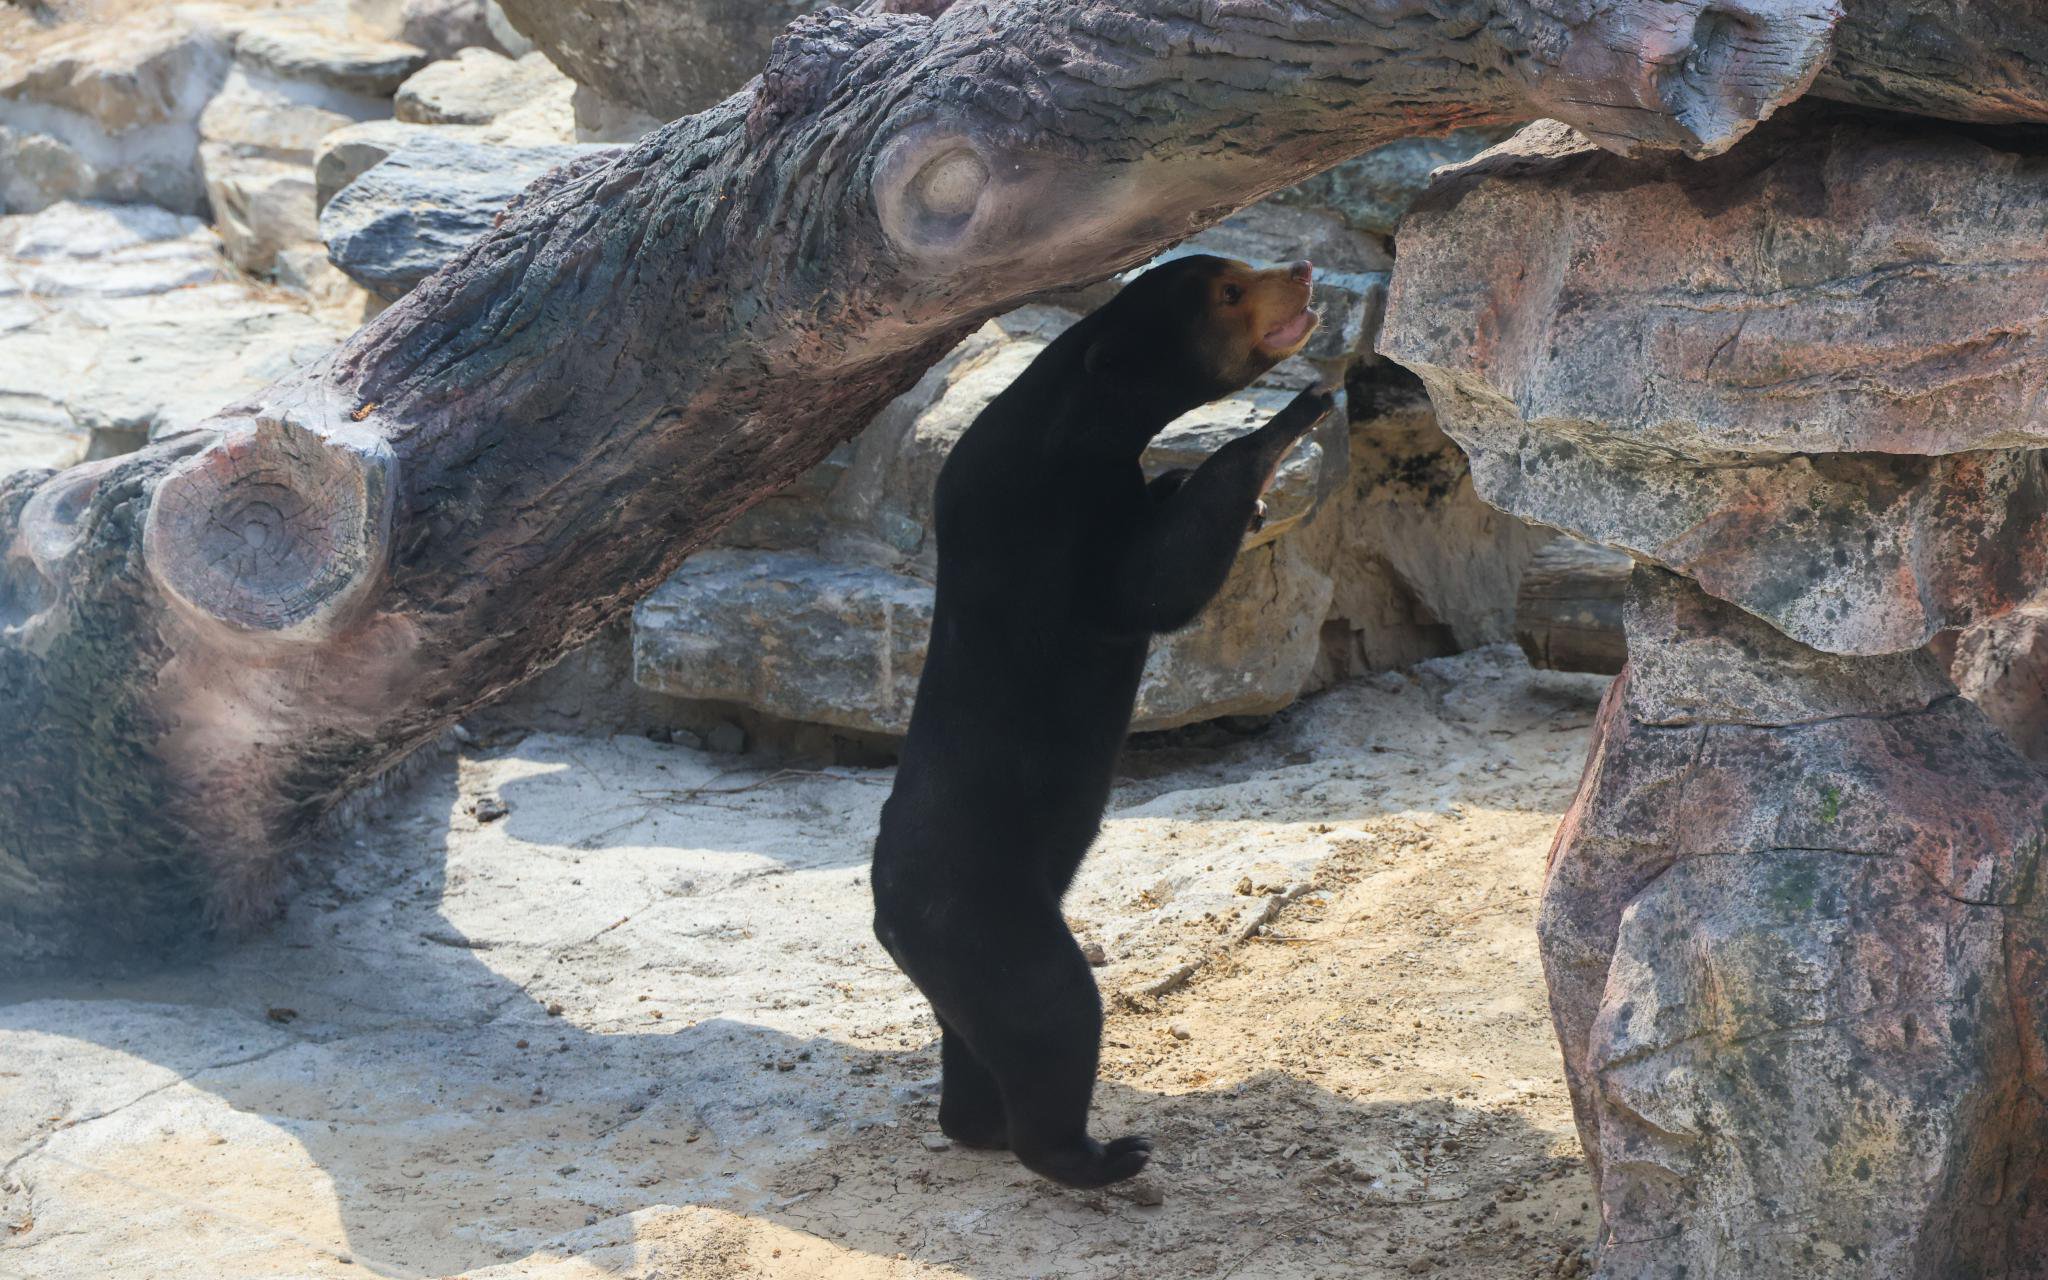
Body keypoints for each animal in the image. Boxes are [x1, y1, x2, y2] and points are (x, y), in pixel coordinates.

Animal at [870, 253, 1334, 1189]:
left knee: (972, 1046)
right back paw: (1104, 1156)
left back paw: (976, 1126)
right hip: (991, 921)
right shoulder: (1056, 528)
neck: (1071, 414)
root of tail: (887, 915)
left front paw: (1205, 484)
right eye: (1231, 292)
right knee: (1053, 1016)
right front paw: (1295, 417)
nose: (1304, 270)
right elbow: (1153, 586)